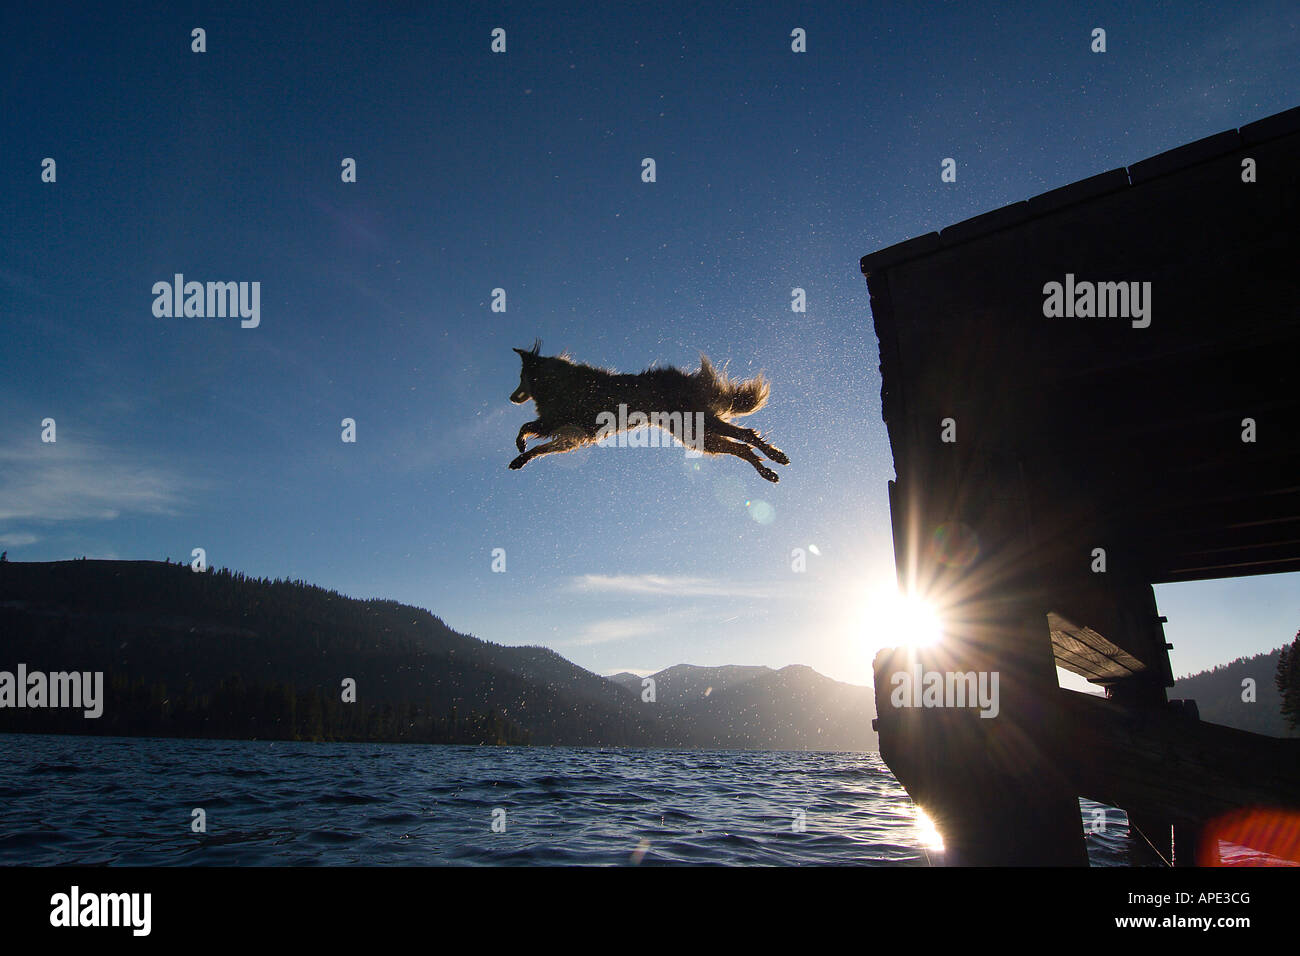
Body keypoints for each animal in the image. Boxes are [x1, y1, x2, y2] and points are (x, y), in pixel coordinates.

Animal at [509, 340, 790, 481]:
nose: (511, 398)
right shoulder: (572, 436)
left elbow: (527, 427)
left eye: (521, 376)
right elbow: (541, 449)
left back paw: (776, 456)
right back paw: (768, 472)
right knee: (742, 448)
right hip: (697, 436)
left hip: (700, 424)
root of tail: (686, 379)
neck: (554, 380)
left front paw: (520, 444)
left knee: (747, 434)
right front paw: (520, 459)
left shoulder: (559, 421)